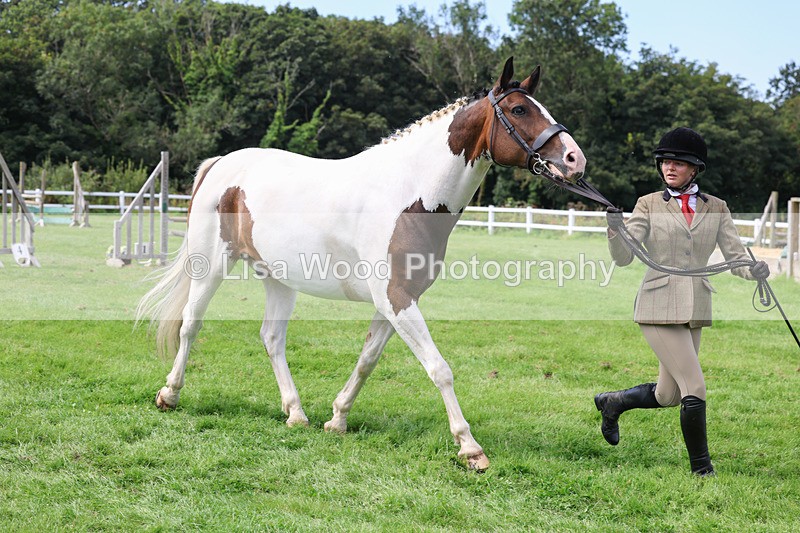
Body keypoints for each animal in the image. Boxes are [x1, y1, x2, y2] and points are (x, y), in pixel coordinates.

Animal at [137, 57, 586, 471]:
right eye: (519, 110)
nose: (574, 159)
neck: (410, 195)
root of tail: (220, 164)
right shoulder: (396, 298)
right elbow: (439, 368)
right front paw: (469, 447)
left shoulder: (394, 303)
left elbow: (368, 359)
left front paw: (337, 419)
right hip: (211, 265)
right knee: (191, 324)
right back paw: (169, 394)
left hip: (278, 278)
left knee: (272, 338)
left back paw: (296, 413)